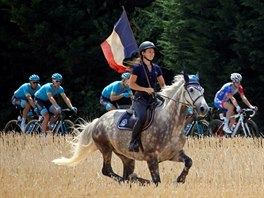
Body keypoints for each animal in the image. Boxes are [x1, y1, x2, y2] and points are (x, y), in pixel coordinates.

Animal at [53, 72, 208, 186]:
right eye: (191, 89)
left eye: (202, 90)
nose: (204, 108)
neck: (171, 122)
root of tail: (98, 121)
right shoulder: (151, 157)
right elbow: (157, 181)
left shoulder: (174, 153)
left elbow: (189, 162)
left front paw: (179, 180)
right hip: (106, 148)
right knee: (108, 171)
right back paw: (136, 179)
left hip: (126, 156)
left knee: (126, 174)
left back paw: (136, 179)